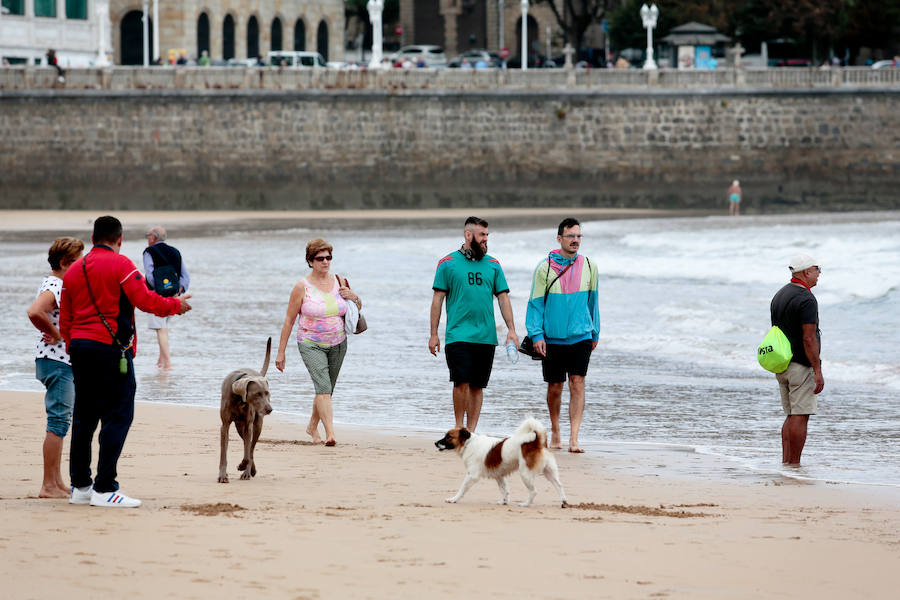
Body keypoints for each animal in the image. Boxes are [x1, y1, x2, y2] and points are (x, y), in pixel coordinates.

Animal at [217, 338, 270, 482]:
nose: (270, 409)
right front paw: (223, 475)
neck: (239, 399)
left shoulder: (248, 425)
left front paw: (243, 466)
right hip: (239, 426)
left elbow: (247, 452)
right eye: (257, 394)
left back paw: (248, 471)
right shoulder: (225, 426)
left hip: (257, 424)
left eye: (267, 393)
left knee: (251, 447)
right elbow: (224, 453)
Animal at [436, 420, 568, 508]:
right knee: (559, 486)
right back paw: (564, 502)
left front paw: (453, 499)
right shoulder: (499, 475)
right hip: (549, 472)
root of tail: (536, 442)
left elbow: (462, 489)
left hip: (525, 474)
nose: (435, 443)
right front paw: (504, 501)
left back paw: (526, 504)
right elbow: (504, 490)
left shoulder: (472, 475)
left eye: (448, 436)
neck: (469, 443)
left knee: (534, 491)